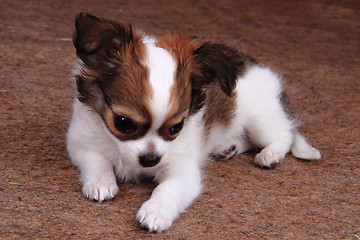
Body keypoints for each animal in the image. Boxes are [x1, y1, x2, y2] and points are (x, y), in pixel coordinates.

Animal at [67, 13, 320, 232]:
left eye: (176, 127)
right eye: (123, 123)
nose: (150, 160)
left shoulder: (183, 171)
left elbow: (168, 188)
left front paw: (156, 211)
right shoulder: (81, 141)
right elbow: (97, 160)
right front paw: (101, 183)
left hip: (261, 119)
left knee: (285, 134)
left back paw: (270, 154)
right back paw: (228, 147)